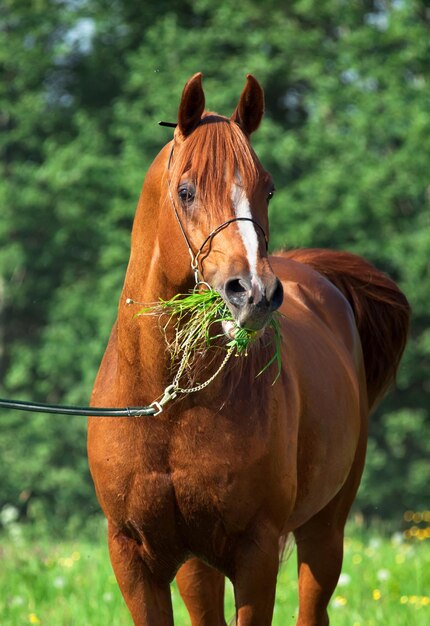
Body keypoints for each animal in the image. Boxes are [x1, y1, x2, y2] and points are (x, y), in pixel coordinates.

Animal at [88, 74, 410, 624]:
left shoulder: (255, 553)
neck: (167, 405)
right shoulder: (134, 558)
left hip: (325, 529)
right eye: (187, 191)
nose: (255, 292)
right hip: (198, 566)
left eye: (268, 188)